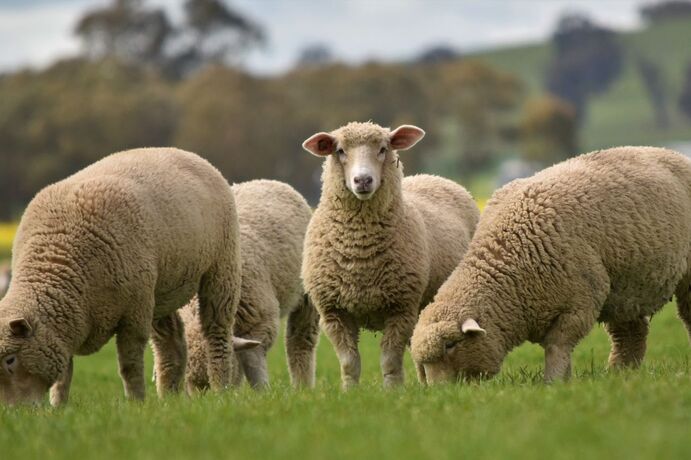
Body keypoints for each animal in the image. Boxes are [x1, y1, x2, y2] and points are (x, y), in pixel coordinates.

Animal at [0, 147, 242, 406]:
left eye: (10, 360)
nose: (13, 410)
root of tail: (186, 153)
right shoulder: (66, 325)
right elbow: (64, 375)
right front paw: (58, 407)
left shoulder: (133, 315)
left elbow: (129, 366)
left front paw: (136, 403)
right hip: (161, 290)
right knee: (172, 340)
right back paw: (168, 397)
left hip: (220, 269)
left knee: (217, 333)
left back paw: (220, 389)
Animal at [180, 180, 319, 391]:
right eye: (189, 384)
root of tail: (263, 181)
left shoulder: (260, 321)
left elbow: (253, 361)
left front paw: (262, 391)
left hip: (306, 296)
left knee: (300, 342)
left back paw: (303, 387)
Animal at [301, 121, 480, 388]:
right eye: (340, 150)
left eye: (383, 149)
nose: (363, 180)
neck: (360, 251)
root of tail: (430, 176)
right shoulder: (333, 312)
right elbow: (349, 363)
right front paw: (350, 391)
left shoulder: (400, 308)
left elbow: (389, 361)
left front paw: (393, 391)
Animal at [411, 146, 691, 384]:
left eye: (450, 345)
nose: (441, 393)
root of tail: (669, 152)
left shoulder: (579, 303)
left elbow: (558, 346)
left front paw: (554, 383)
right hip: (624, 289)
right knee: (630, 333)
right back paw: (621, 374)